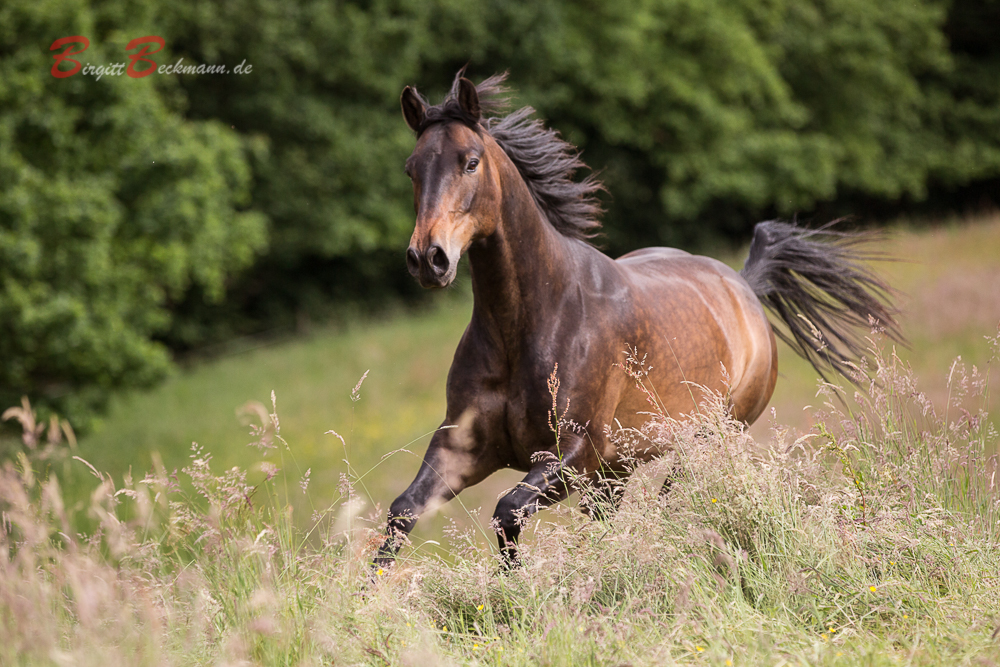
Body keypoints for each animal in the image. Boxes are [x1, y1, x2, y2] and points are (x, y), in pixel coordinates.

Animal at [374, 72, 900, 568]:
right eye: (411, 169)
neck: (527, 322)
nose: (428, 258)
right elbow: (404, 511)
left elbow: (507, 511)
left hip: (706, 440)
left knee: (672, 503)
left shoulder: (574, 455)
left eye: (470, 161)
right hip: (617, 472)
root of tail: (744, 286)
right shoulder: (462, 449)